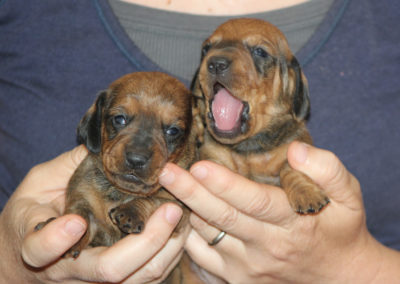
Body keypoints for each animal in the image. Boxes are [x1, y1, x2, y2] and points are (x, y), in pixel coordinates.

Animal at [36, 71, 196, 258]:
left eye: (173, 131)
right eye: (119, 119)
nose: (136, 159)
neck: (119, 192)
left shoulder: (180, 209)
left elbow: (154, 200)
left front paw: (131, 211)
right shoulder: (83, 195)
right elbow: (79, 216)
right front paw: (71, 237)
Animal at [192, 18, 330, 214]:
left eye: (259, 52)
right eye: (206, 49)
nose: (216, 63)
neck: (249, 147)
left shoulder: (294, 146)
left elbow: (290, 168)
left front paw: (306, 192)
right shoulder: (212, 155)